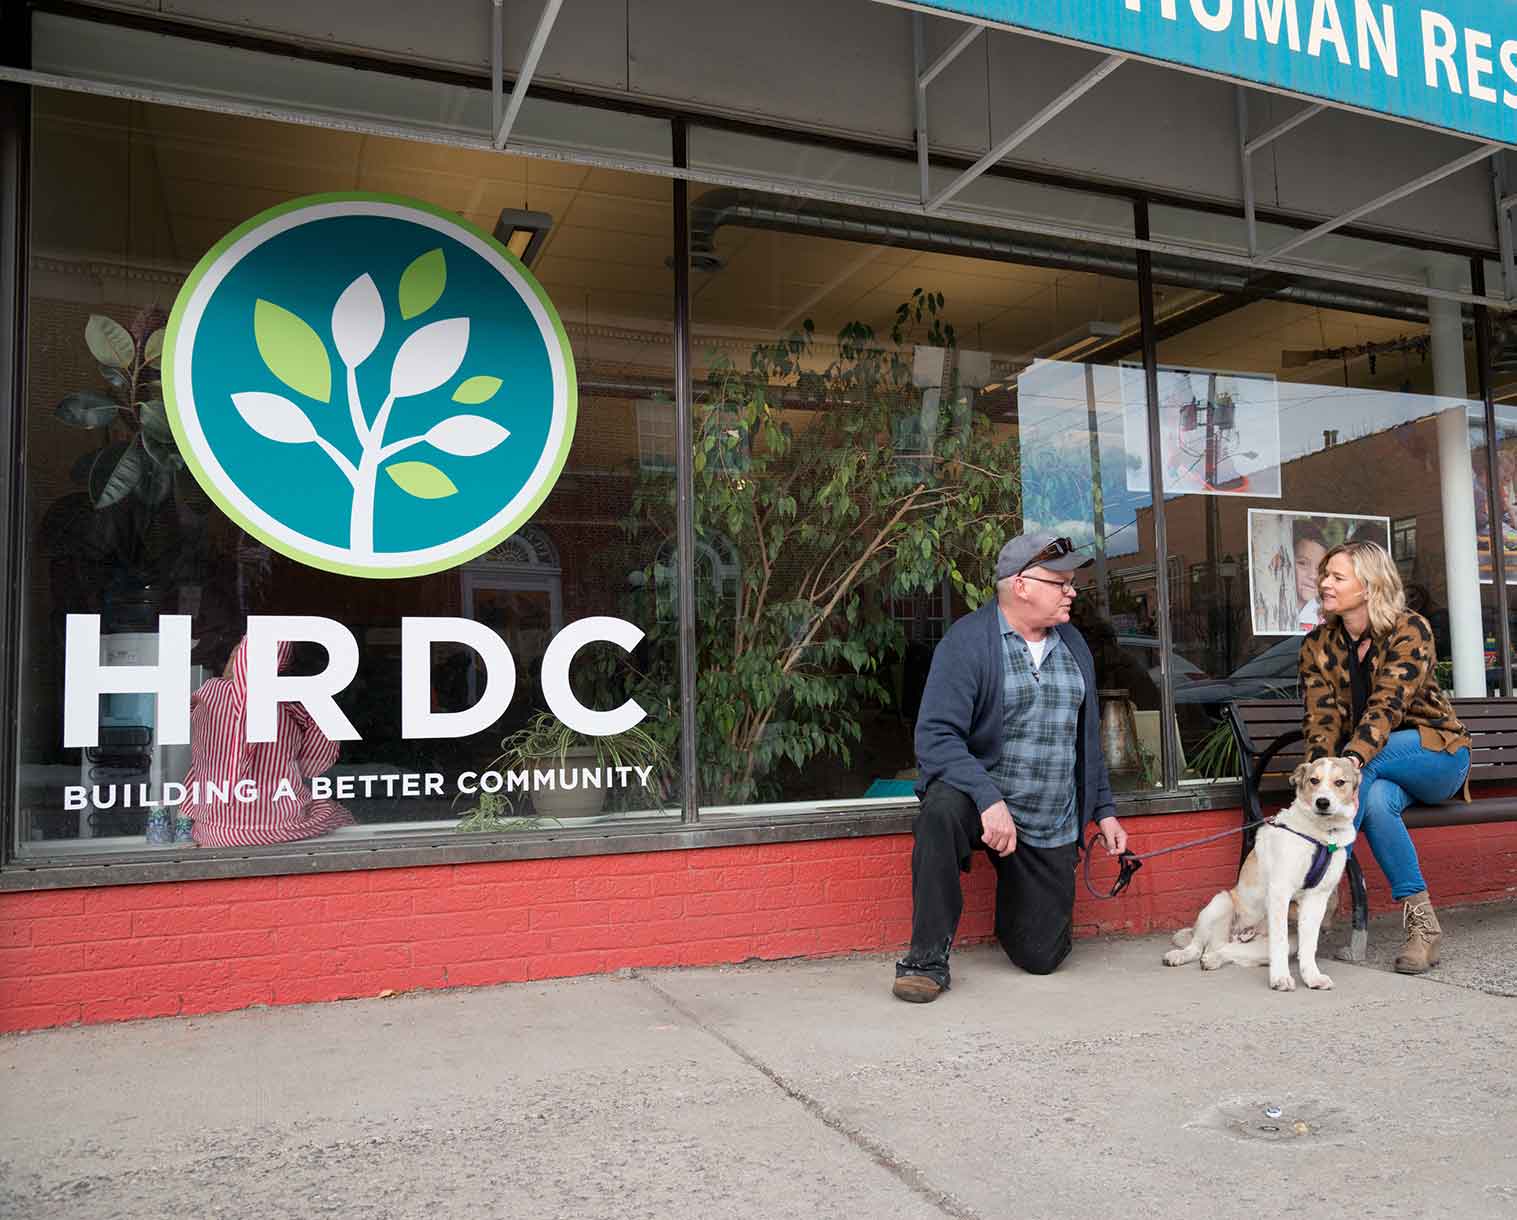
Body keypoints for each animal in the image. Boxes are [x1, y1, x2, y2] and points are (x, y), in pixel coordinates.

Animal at [1158, 761, 1365, 989]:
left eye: (1340, 782)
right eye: (1314, 780)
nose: (1322, 802)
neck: (1322, 835)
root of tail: (1237, 935)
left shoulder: (1317, 899)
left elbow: (1309, 944)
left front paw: (1312, 977)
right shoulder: (1280, 892)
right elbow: (1279, 941)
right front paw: (1280, 978)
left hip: (1268, 945)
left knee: (1224, 950)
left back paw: (1213, 959)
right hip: (1221, 902)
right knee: (1196, 947)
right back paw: (1178, 955)